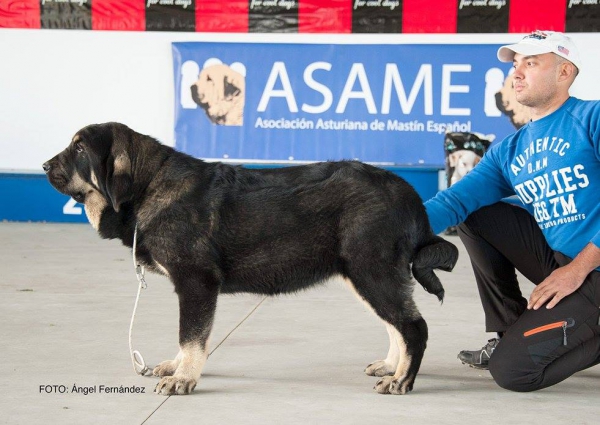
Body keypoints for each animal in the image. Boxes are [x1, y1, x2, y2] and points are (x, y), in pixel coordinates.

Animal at [44, 121, 458, 394]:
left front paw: (184, 378)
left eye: (79, 149)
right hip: (363, 275)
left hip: (371, 271)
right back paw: (392, 366)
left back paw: (402, 380)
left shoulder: (196, 282)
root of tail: (408, 194)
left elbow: (190, 336)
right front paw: (178, 367)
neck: (148, 187)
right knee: (396, 325)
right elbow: (187, 337)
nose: (46, 165)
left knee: (414, 327)